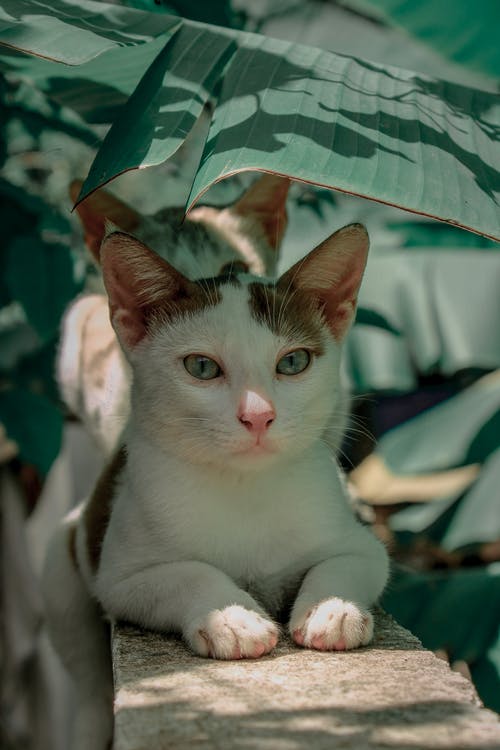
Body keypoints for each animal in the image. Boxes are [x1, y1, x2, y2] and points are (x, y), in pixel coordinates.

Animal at [44, 181, 386, 750]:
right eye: (201, 367)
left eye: (294, 362)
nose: (259, 415)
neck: (244, 487)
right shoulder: (123, 575)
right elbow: (188, 573)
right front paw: (233, 618)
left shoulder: (360, 540)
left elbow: (350, 560)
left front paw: (332, 608)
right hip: (63, 563)